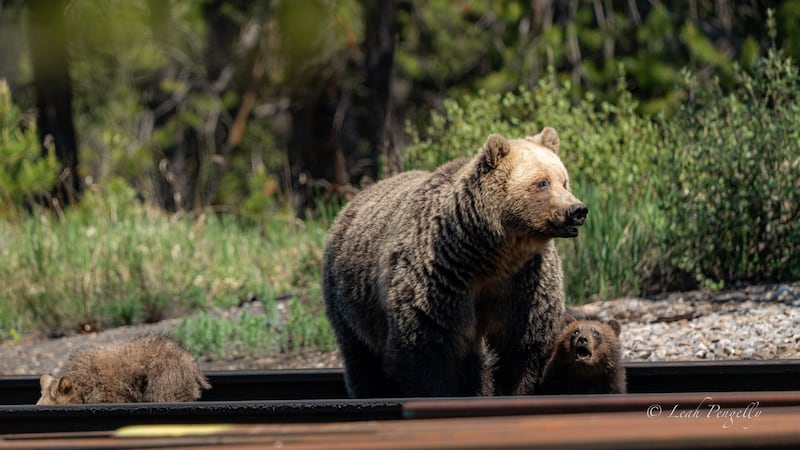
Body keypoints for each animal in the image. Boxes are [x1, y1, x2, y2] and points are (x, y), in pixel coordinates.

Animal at [322, 127, 587, 398]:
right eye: (542, 183)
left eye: (564, 180)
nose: (577, 210)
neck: (491, 254)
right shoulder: (440, 279)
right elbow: (425, 351)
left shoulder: (524, 282)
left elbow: (523, 347)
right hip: (352, 299)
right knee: (362, 360)